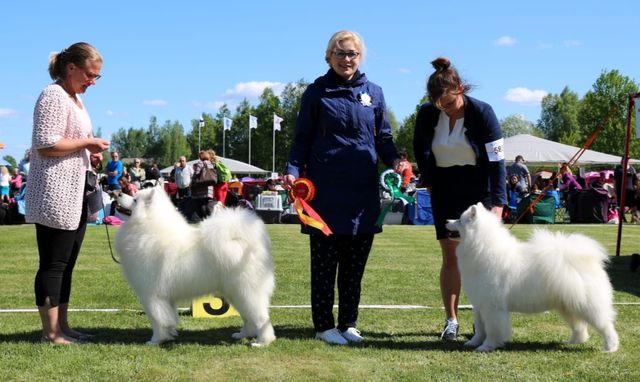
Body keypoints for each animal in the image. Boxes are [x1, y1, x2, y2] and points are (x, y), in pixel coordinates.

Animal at [115, 185, 276, 346]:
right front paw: (170, 334)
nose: (118, 193)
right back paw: (242, 334)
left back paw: (262, 342)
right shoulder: (165, 299)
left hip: (246, 291)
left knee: (262, 318)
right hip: (235, 293)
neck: (147, 227)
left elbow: (157, 321)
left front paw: (155, 340)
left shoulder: (151, 296)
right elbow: (169, 318)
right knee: (248, 317)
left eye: (135, 200)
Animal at [444, 203, 620, 352]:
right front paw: (473, 342)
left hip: (587, 305)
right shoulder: (480, 305)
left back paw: (610, 347)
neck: (482, 249)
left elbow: (492, 330)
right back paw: (573, 341)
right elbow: (480, 329)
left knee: (605, 325)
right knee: (579, 326)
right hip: (568, 304)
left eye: (459, 220)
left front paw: (487, 346)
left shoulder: (492, 308)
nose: (446, 220)